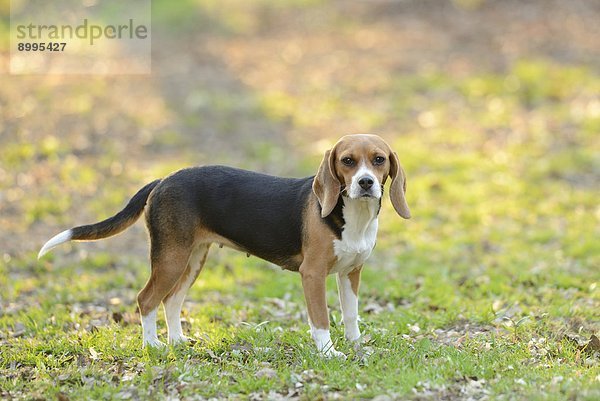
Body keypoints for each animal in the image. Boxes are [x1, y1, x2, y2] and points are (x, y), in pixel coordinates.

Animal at [38, 134, 412, 356]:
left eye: (378, 159)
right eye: (347, 161)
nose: (365, 183)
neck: (352, 214)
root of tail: (164, 179)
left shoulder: (351, 272)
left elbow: (350, 314)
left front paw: (356, 346)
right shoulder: (313, 275)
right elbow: (320, 319)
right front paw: (329, 352)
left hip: (192, 259)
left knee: (171, 300)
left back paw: (177, 340)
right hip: (171, 258)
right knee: (146, 299)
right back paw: (154, 345)